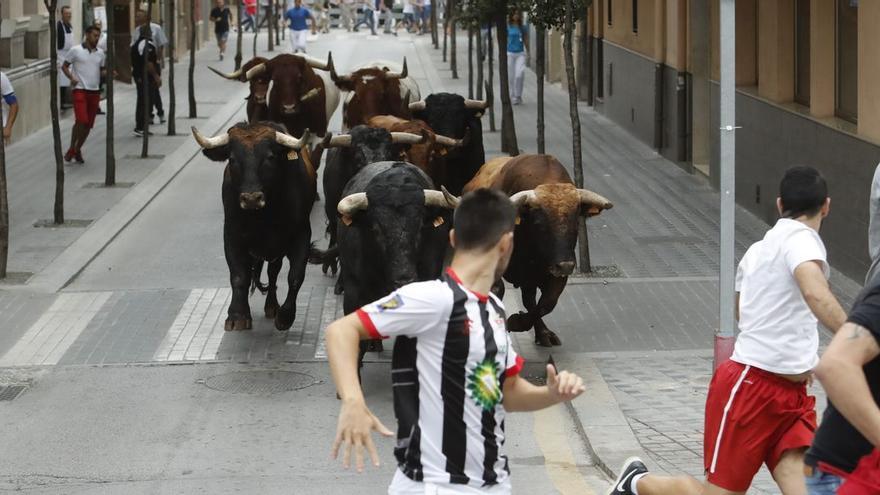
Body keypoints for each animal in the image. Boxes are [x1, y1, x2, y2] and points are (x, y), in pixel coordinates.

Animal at [468, 157, 612, 346]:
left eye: (576, 223)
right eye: (539, 224)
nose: (565, 265)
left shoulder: (554, 272)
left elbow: (546, 303)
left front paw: (518, 322)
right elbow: (497, 291)